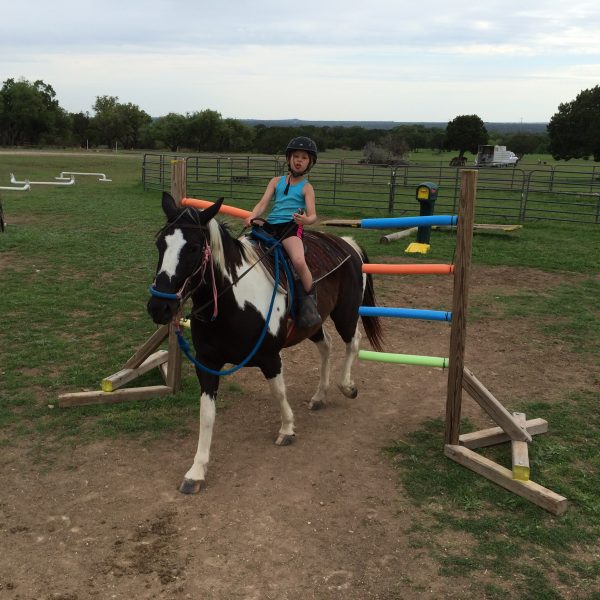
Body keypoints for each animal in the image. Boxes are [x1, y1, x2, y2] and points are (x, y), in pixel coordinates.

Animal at [147, 192, 382, 492]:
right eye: (160, 244)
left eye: (194, 248)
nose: (159, 307)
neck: (234, 301)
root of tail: (347, 244)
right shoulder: (206, 364)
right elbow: (207, 415)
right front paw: (196, 471)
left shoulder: (270, 357)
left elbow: (278, 391)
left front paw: (287, 429)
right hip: (314, 324)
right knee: (326, 345)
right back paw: (319, 396)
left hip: (346, 314)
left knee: (353, 342)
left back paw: (347, 387)